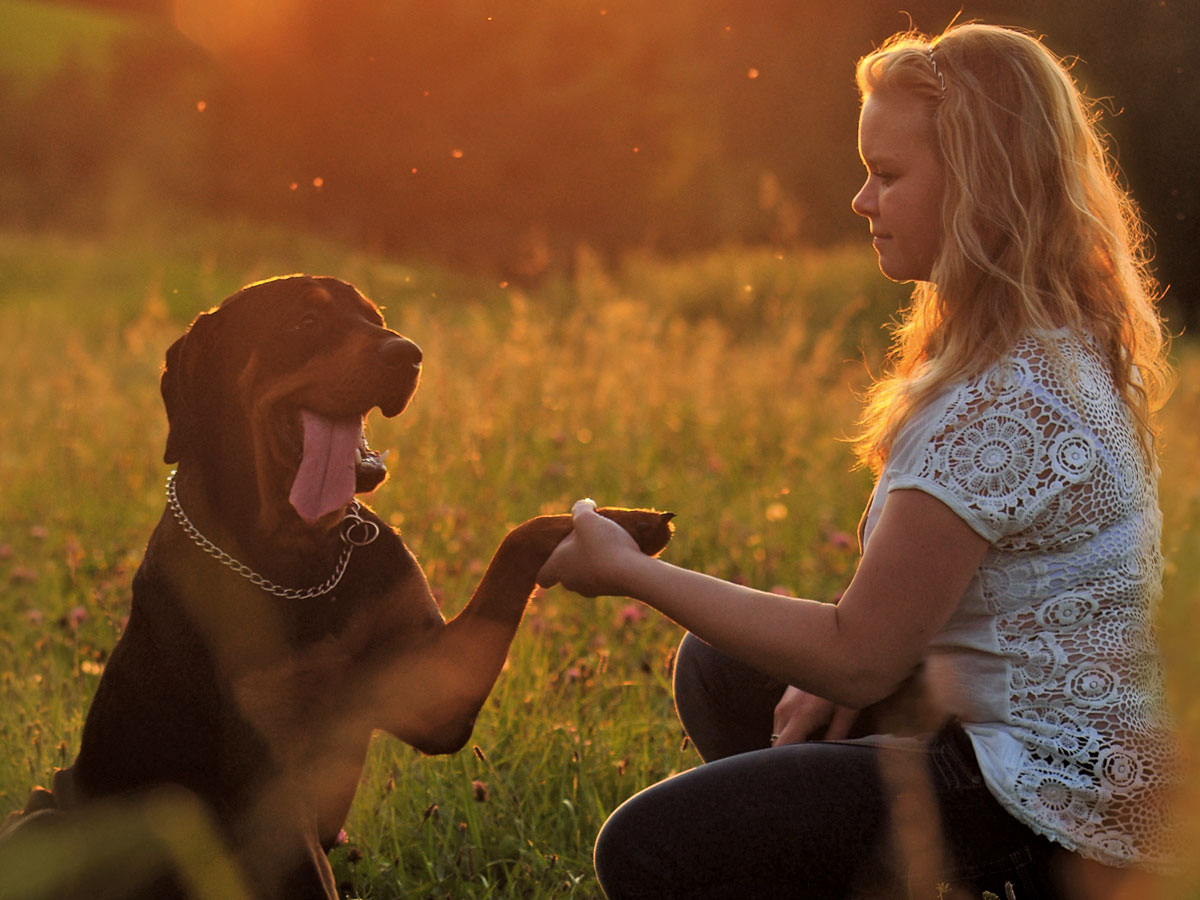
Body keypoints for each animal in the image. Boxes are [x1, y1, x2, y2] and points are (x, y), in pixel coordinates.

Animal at [2, 277, 676, 900]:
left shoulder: (437, 694)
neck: (299, 563)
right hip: (45, 815)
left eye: (375, 317)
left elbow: (520, 539)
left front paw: (623, 524)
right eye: (306, 322)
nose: (408, 354)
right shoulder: (269, 784)